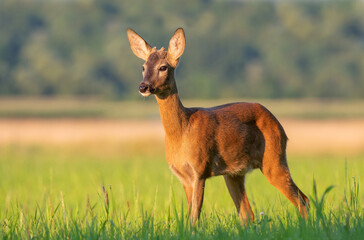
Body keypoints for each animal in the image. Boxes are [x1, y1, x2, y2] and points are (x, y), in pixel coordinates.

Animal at [126, 28, 308, 225]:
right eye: (143, 67)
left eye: (163, 67)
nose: (143, 86)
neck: (182, 131)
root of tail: (281, 127)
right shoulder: (183, 177)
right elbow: (190, 215)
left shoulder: (200, 169)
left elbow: (194, 217)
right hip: (235, 173)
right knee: (248, 214)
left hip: (273, 159)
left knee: (302, 199)